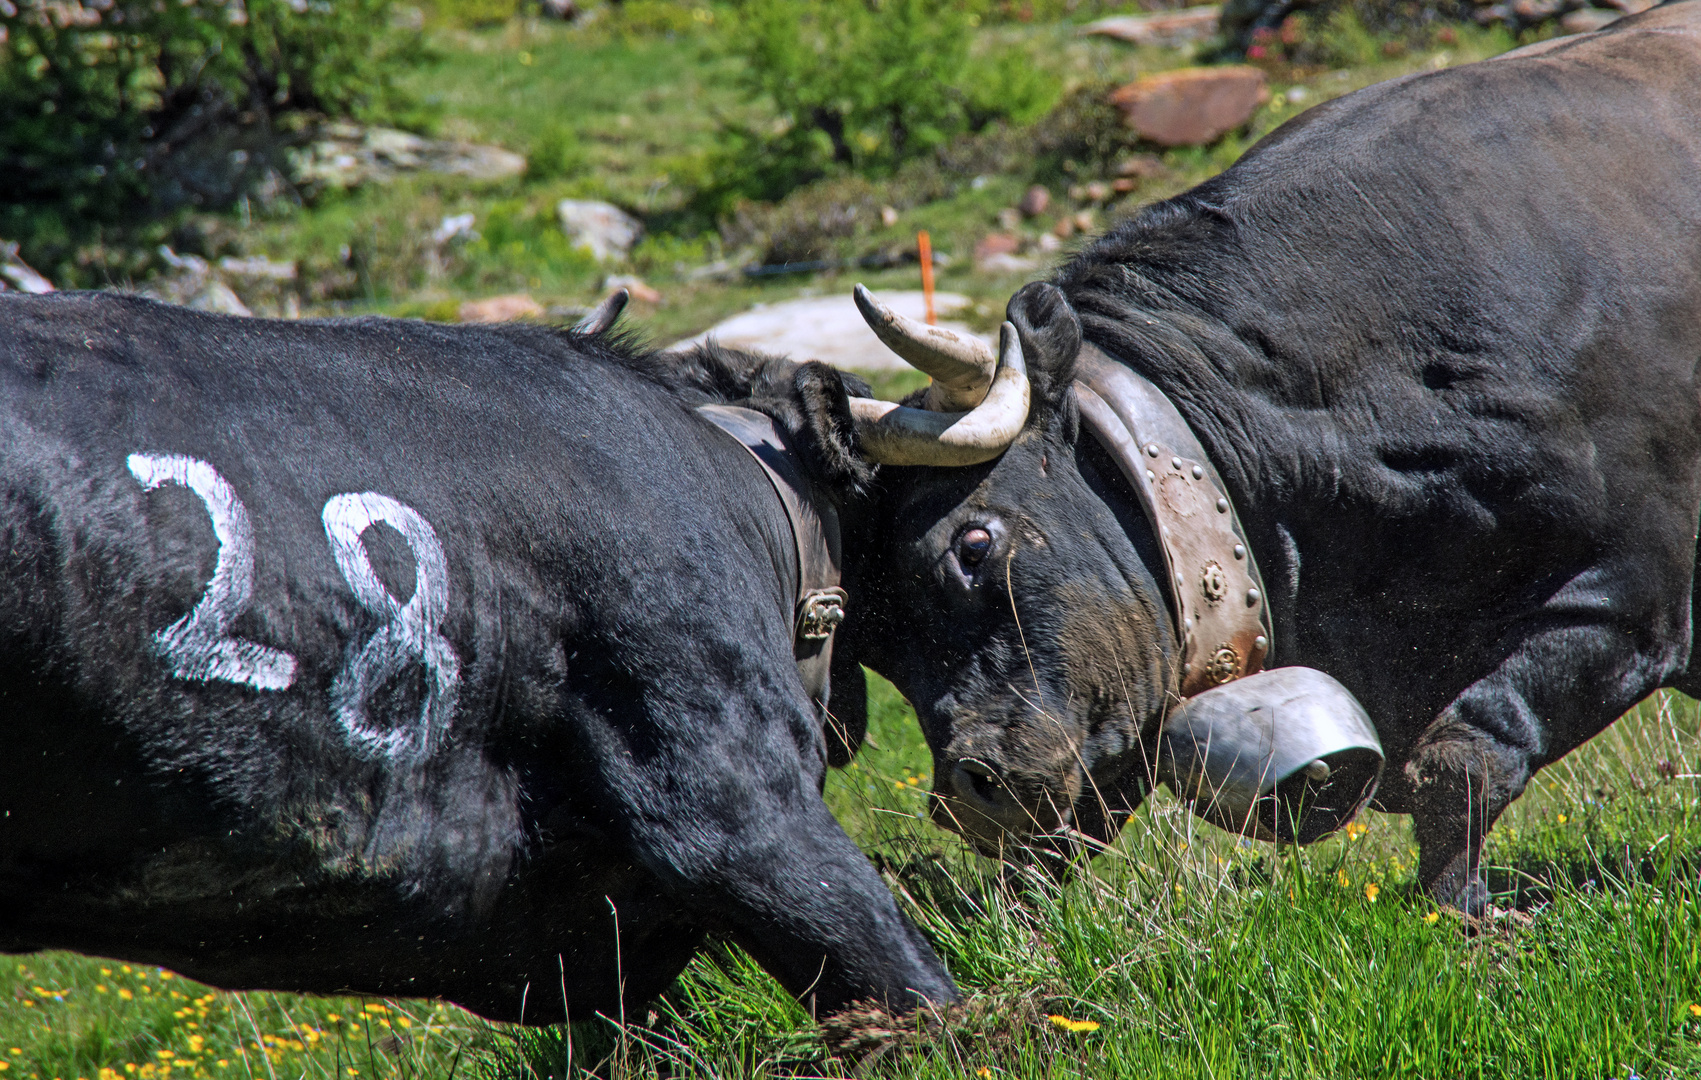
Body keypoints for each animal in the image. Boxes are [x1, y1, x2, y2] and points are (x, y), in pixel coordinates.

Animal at [847, 4, 1701, 918]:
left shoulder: (1632, 594)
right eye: (877, 642)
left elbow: (1464, 754)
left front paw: (1465, 915)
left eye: (972, 545)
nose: (967, 790)